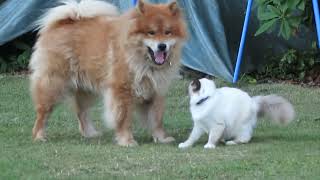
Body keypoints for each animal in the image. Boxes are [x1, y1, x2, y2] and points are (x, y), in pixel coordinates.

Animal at [29, 0, 188, 146]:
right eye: (151, 33)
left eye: (167, 32)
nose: (162, 46)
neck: (143, 61)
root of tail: (62, 23)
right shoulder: (122, 90)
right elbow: (124, 118)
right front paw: (127, 140)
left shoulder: (156, 92)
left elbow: (156, 119)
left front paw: (162, 138)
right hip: (53, 84)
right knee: (42, 112)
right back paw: (39, 136)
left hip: (86, 90)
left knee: (82, 112)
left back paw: (90, 133)